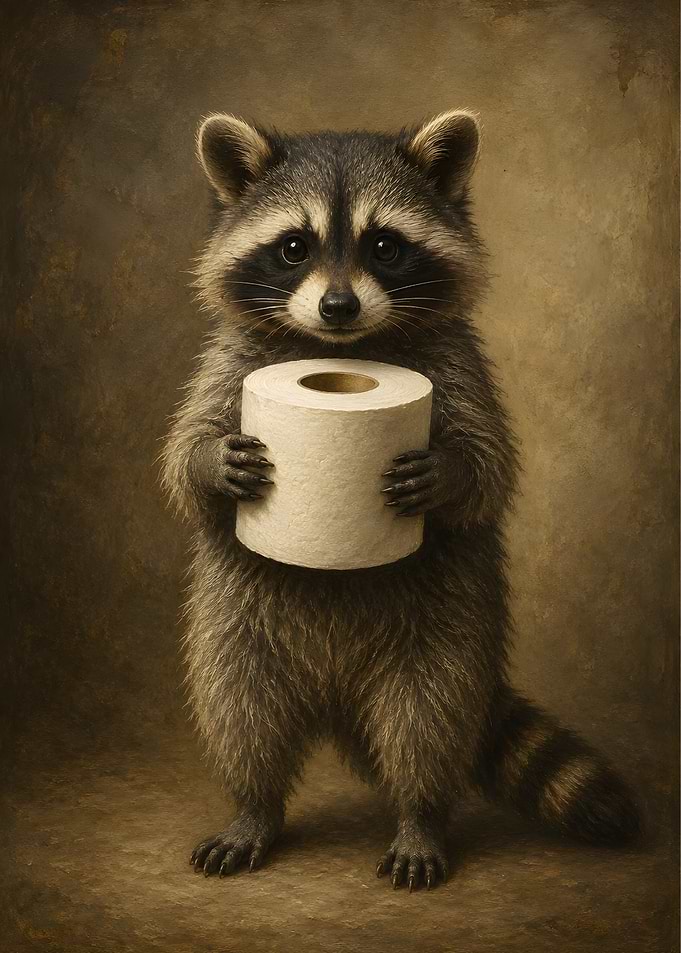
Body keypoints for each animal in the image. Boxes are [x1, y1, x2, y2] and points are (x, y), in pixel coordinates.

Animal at [162, 110, 641, 891]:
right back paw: (254, 805)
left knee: (427, 722)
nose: (338, 306)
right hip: (235, 621)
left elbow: (490, 468)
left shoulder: (460, 365)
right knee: (241, 707)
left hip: (447, 626)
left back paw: (419, 815)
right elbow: (183, 455)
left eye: (384, 246)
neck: (346, 348)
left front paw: (446, 473)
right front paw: (212, 462)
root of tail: (334, 696)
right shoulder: (227, 363)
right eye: (292, 248)